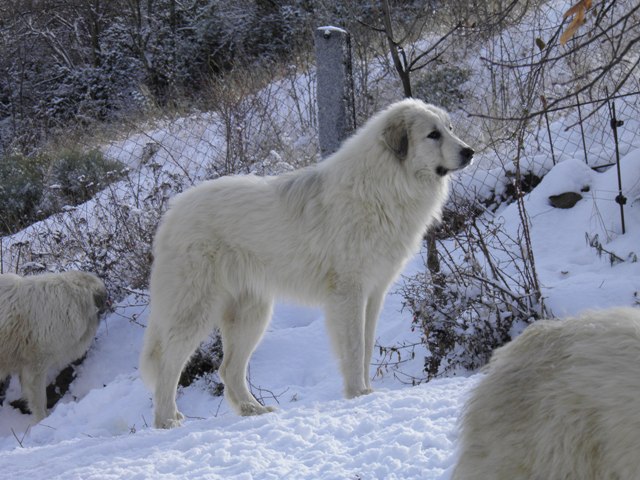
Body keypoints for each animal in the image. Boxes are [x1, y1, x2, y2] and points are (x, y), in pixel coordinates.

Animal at [142, 97, 476, 428]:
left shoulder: (373, 294)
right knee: (168, 366)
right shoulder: (349, 294)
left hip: (252, 315)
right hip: (194, 311)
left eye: (449, 129)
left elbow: (367, 347)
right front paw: (357, 394)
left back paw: (254, 410)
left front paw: (368, 393)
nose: (470, 151)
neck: (385, 185)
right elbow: (354, 348)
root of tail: (172, 213)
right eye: (433, 135)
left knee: (228, 370)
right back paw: (166, 421)